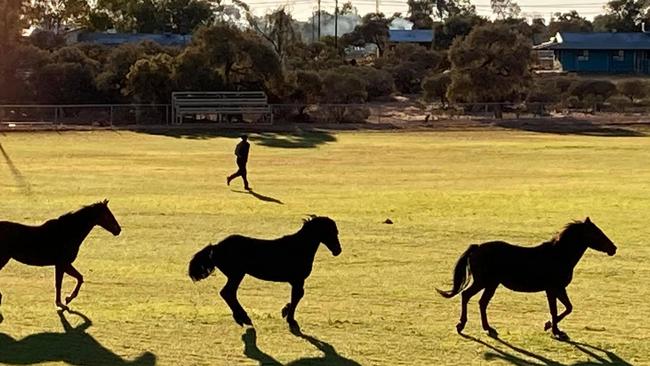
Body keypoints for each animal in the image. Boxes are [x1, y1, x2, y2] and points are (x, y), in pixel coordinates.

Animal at [186, 216, 340, 330]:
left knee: (229, 293)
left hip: (236, 275)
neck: (298, 247)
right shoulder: (297, 280)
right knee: (227, 292)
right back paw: (244, 317)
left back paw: (241, 317)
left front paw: (285, 311)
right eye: (330, 232)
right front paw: (290, 318)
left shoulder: (296, 281)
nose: (338, 250)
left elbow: (297, 296)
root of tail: (216, 247)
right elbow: (298, 296)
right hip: (237, 274)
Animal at [438, 217, 616, 340]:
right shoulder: (553, 289)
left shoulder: (558, 289)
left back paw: (488, 328)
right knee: (466, 295)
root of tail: (477, 248)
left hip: (491, 284)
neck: (558, 255)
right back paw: (461, 325)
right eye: (596, 233)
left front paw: (551, 327)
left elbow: (567, 308)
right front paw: (554, 330)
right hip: (484, 282)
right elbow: (557, 309)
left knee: (481, 302)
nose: (614, 248)